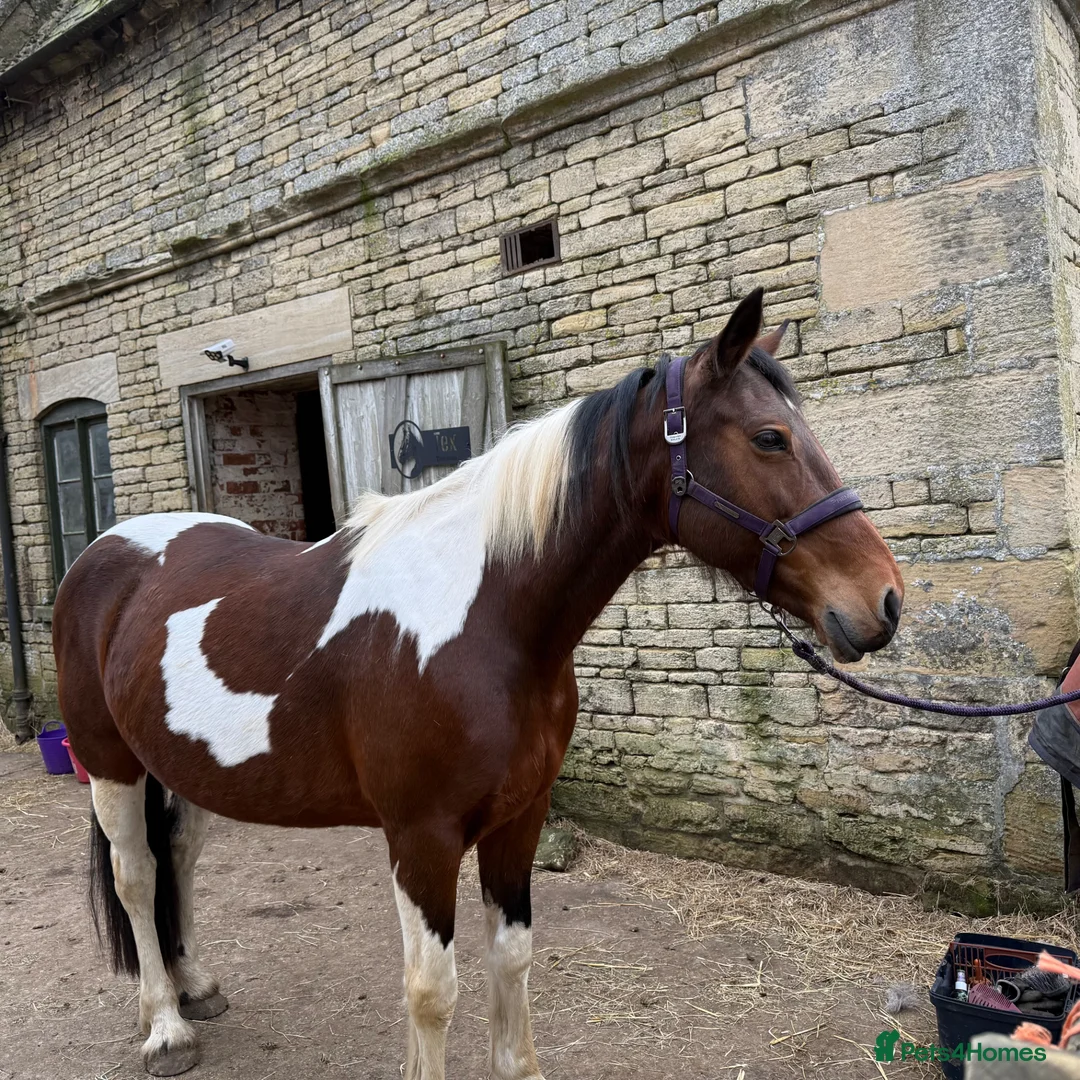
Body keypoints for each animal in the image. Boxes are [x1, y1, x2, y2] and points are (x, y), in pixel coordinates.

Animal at [53, 288, 904, 1078]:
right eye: (770, 438)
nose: (884, 601)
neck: (485, 621)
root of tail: (104, 551)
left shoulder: (519, 819)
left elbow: (512, 959)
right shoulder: (420, 839)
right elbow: (433, 990)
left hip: (185, 767)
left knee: (179, 859)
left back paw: (194, 985)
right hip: (112, 764)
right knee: (136, 876)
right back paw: (166, 1026)